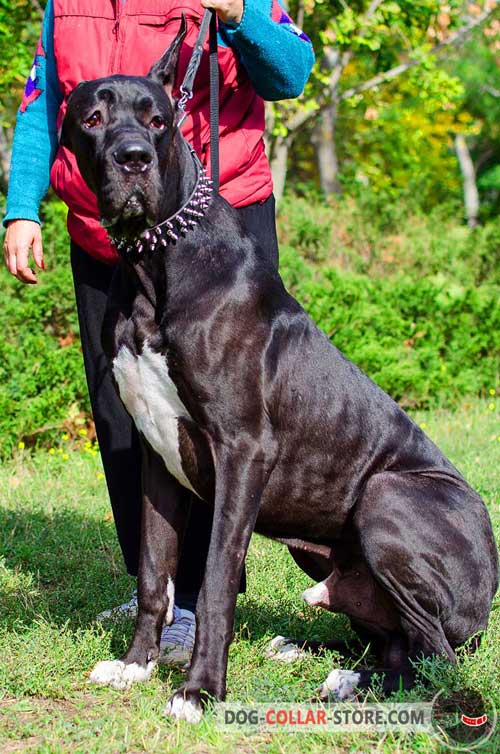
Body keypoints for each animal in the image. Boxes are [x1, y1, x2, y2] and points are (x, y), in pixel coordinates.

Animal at [60, 20, 498, 720]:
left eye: (158, 122)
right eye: (93, 118)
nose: (132, 159)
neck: (156, 263)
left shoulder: (243, 450)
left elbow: (214, 579)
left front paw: (199, 691)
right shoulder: (158, 455)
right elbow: (156, 570)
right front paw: (135, 665)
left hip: (386, 495)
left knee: (437, 656)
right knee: (400, 645)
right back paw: (333, 668)